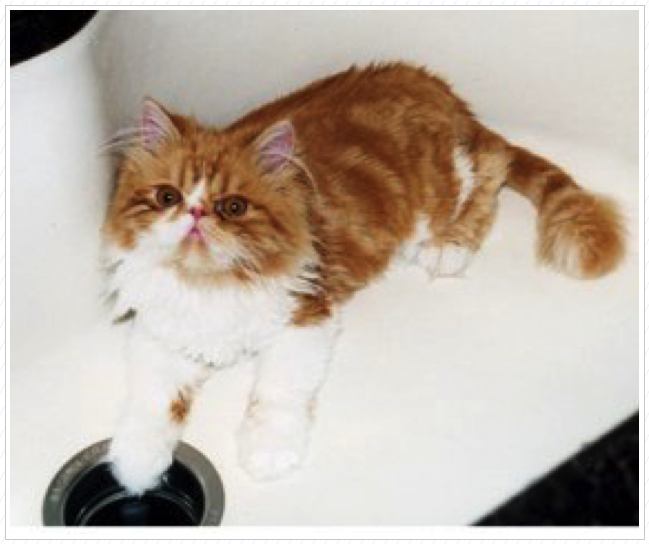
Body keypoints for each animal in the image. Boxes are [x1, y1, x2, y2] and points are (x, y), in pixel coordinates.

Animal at [101, 61, 624, 496]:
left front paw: (268, 452)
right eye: (168, 196)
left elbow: (275, 394)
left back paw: (448, 247)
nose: (194, 215)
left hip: (446, 187)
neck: (207, 284)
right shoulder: (161, 336)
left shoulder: (305, 316)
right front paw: (135, 467)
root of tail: (448, 96)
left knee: (491, 175)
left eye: (233, 207)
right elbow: (152, 403)